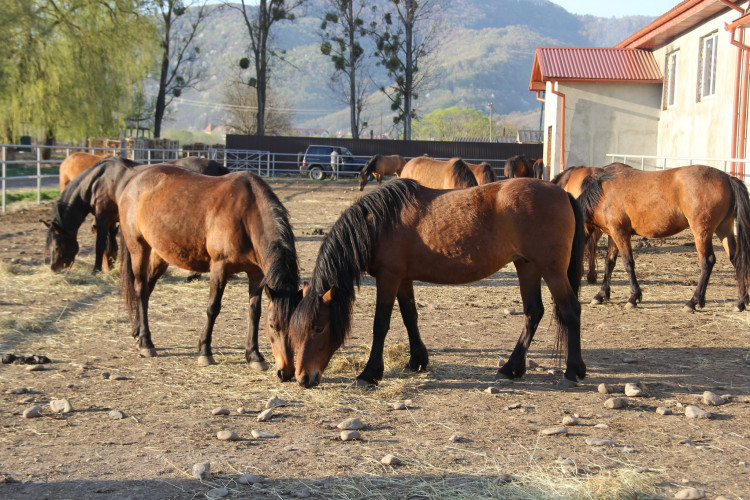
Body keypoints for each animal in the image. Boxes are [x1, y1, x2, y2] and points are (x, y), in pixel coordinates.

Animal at [44, 157, 229, 273]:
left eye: (56, 247)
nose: (54, 269)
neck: (99, 180)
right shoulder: (112, 219)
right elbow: (111, 244)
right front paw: (109, 265)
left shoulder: (103, 216)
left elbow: (100, 243)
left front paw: (96, 269)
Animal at [118, 165, 300, 374]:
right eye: (272, 325)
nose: (286, 371)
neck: (246, 215)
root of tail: (135, 179)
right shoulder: (219, 268)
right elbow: (213, 308)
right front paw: (205, 352)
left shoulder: (257, 274)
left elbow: (254, 312)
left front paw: (254, 355)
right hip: (138, 248)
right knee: (140, 289)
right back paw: (146, 343)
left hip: (160, 255)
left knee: (147, 290)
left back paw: (138, 334)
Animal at [288, 178, 586, 389]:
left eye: (318, 328)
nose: (303, 377)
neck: (380, 223)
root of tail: (563, 193)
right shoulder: (403, 278)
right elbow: (410, 317)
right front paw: (417, 360)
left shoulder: (388, 277)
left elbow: (380, 325)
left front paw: (370, 374)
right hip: (526, 266)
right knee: (533, 312)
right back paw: (511, 369)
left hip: (552, 270)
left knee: (570, 310)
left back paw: (572, 371)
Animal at [575, 163, 750, 311]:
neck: (603, 193)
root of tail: (727, 178)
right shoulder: (613, 234)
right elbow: (609, 263)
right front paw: (601, 295)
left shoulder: (620, 233)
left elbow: (628, 263)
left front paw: (633, 298)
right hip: (724, 229)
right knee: (737, 259)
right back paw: (740, 302)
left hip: (702, 232)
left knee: (707, 261)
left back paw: (693, 302)